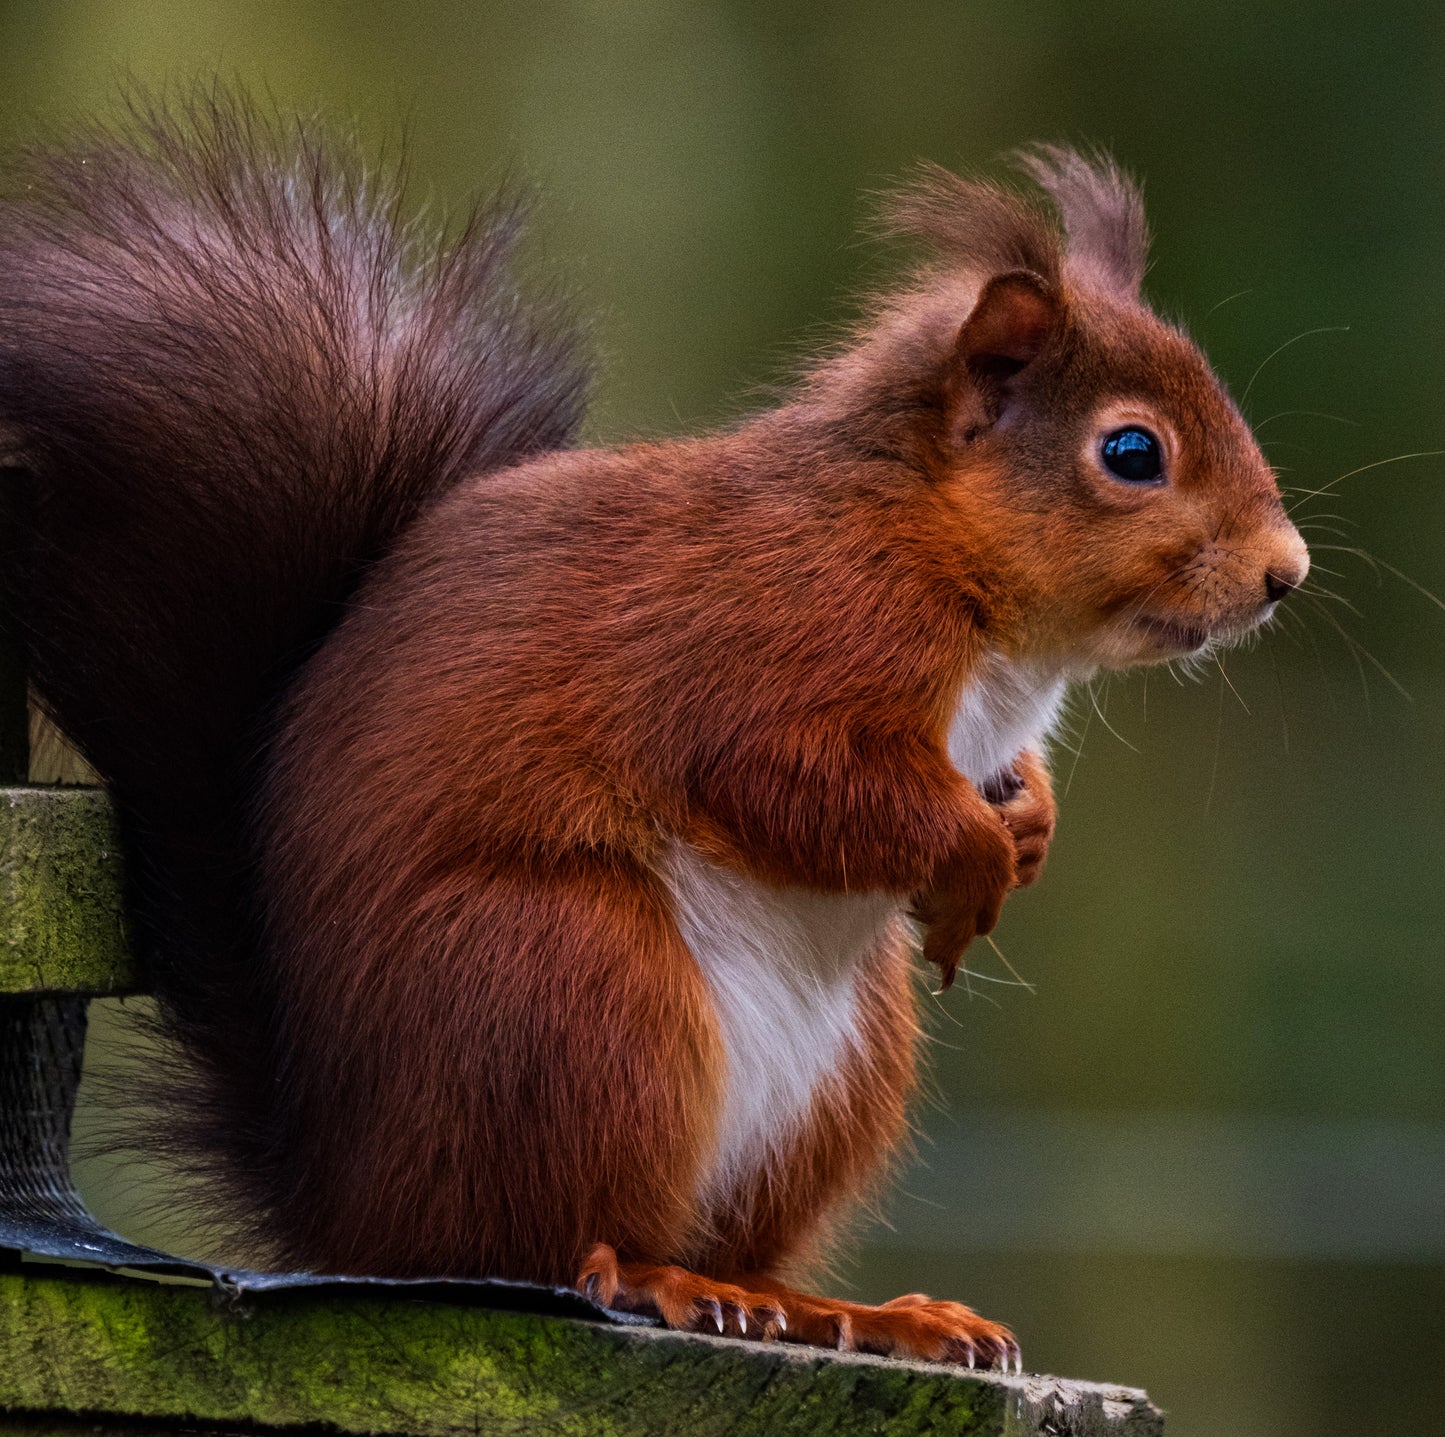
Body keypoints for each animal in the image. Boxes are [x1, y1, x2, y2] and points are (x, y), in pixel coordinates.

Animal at [0, 95, 1312, 1358]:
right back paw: (653, 1277)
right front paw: (976, 856)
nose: (1282, 574)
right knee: (541, 1243)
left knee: (735, 1246)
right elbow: (796, 784)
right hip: (569, 983)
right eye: (1129, 452)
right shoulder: (774, 647)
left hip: (838, 1067)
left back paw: (847, 1312)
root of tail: (347, 1206)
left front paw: (1027, 820)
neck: (934, 552)